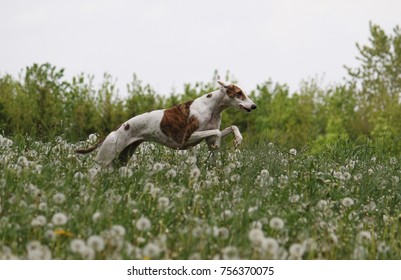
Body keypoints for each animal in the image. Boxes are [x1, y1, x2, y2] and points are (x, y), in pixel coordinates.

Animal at [75, 76, 256, 166]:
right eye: (239, 93)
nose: (254, 106)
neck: (212, 107)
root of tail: (116, 128)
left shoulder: (207, 134)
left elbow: (231, 127)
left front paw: (238, 139)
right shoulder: (186, 138)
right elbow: (217, 132)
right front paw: (218, 144)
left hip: (122, 159)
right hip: (106, 158)